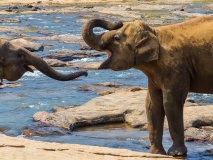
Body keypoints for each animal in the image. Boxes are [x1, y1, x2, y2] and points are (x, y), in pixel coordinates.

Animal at [82, 16, 213, 156]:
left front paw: (176, 153)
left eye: (116, 38)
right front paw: (156, 153)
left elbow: (171, 102)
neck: (155, 33)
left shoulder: (176, 67)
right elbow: (152, 104)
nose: (118, 22)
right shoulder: (156, 74)